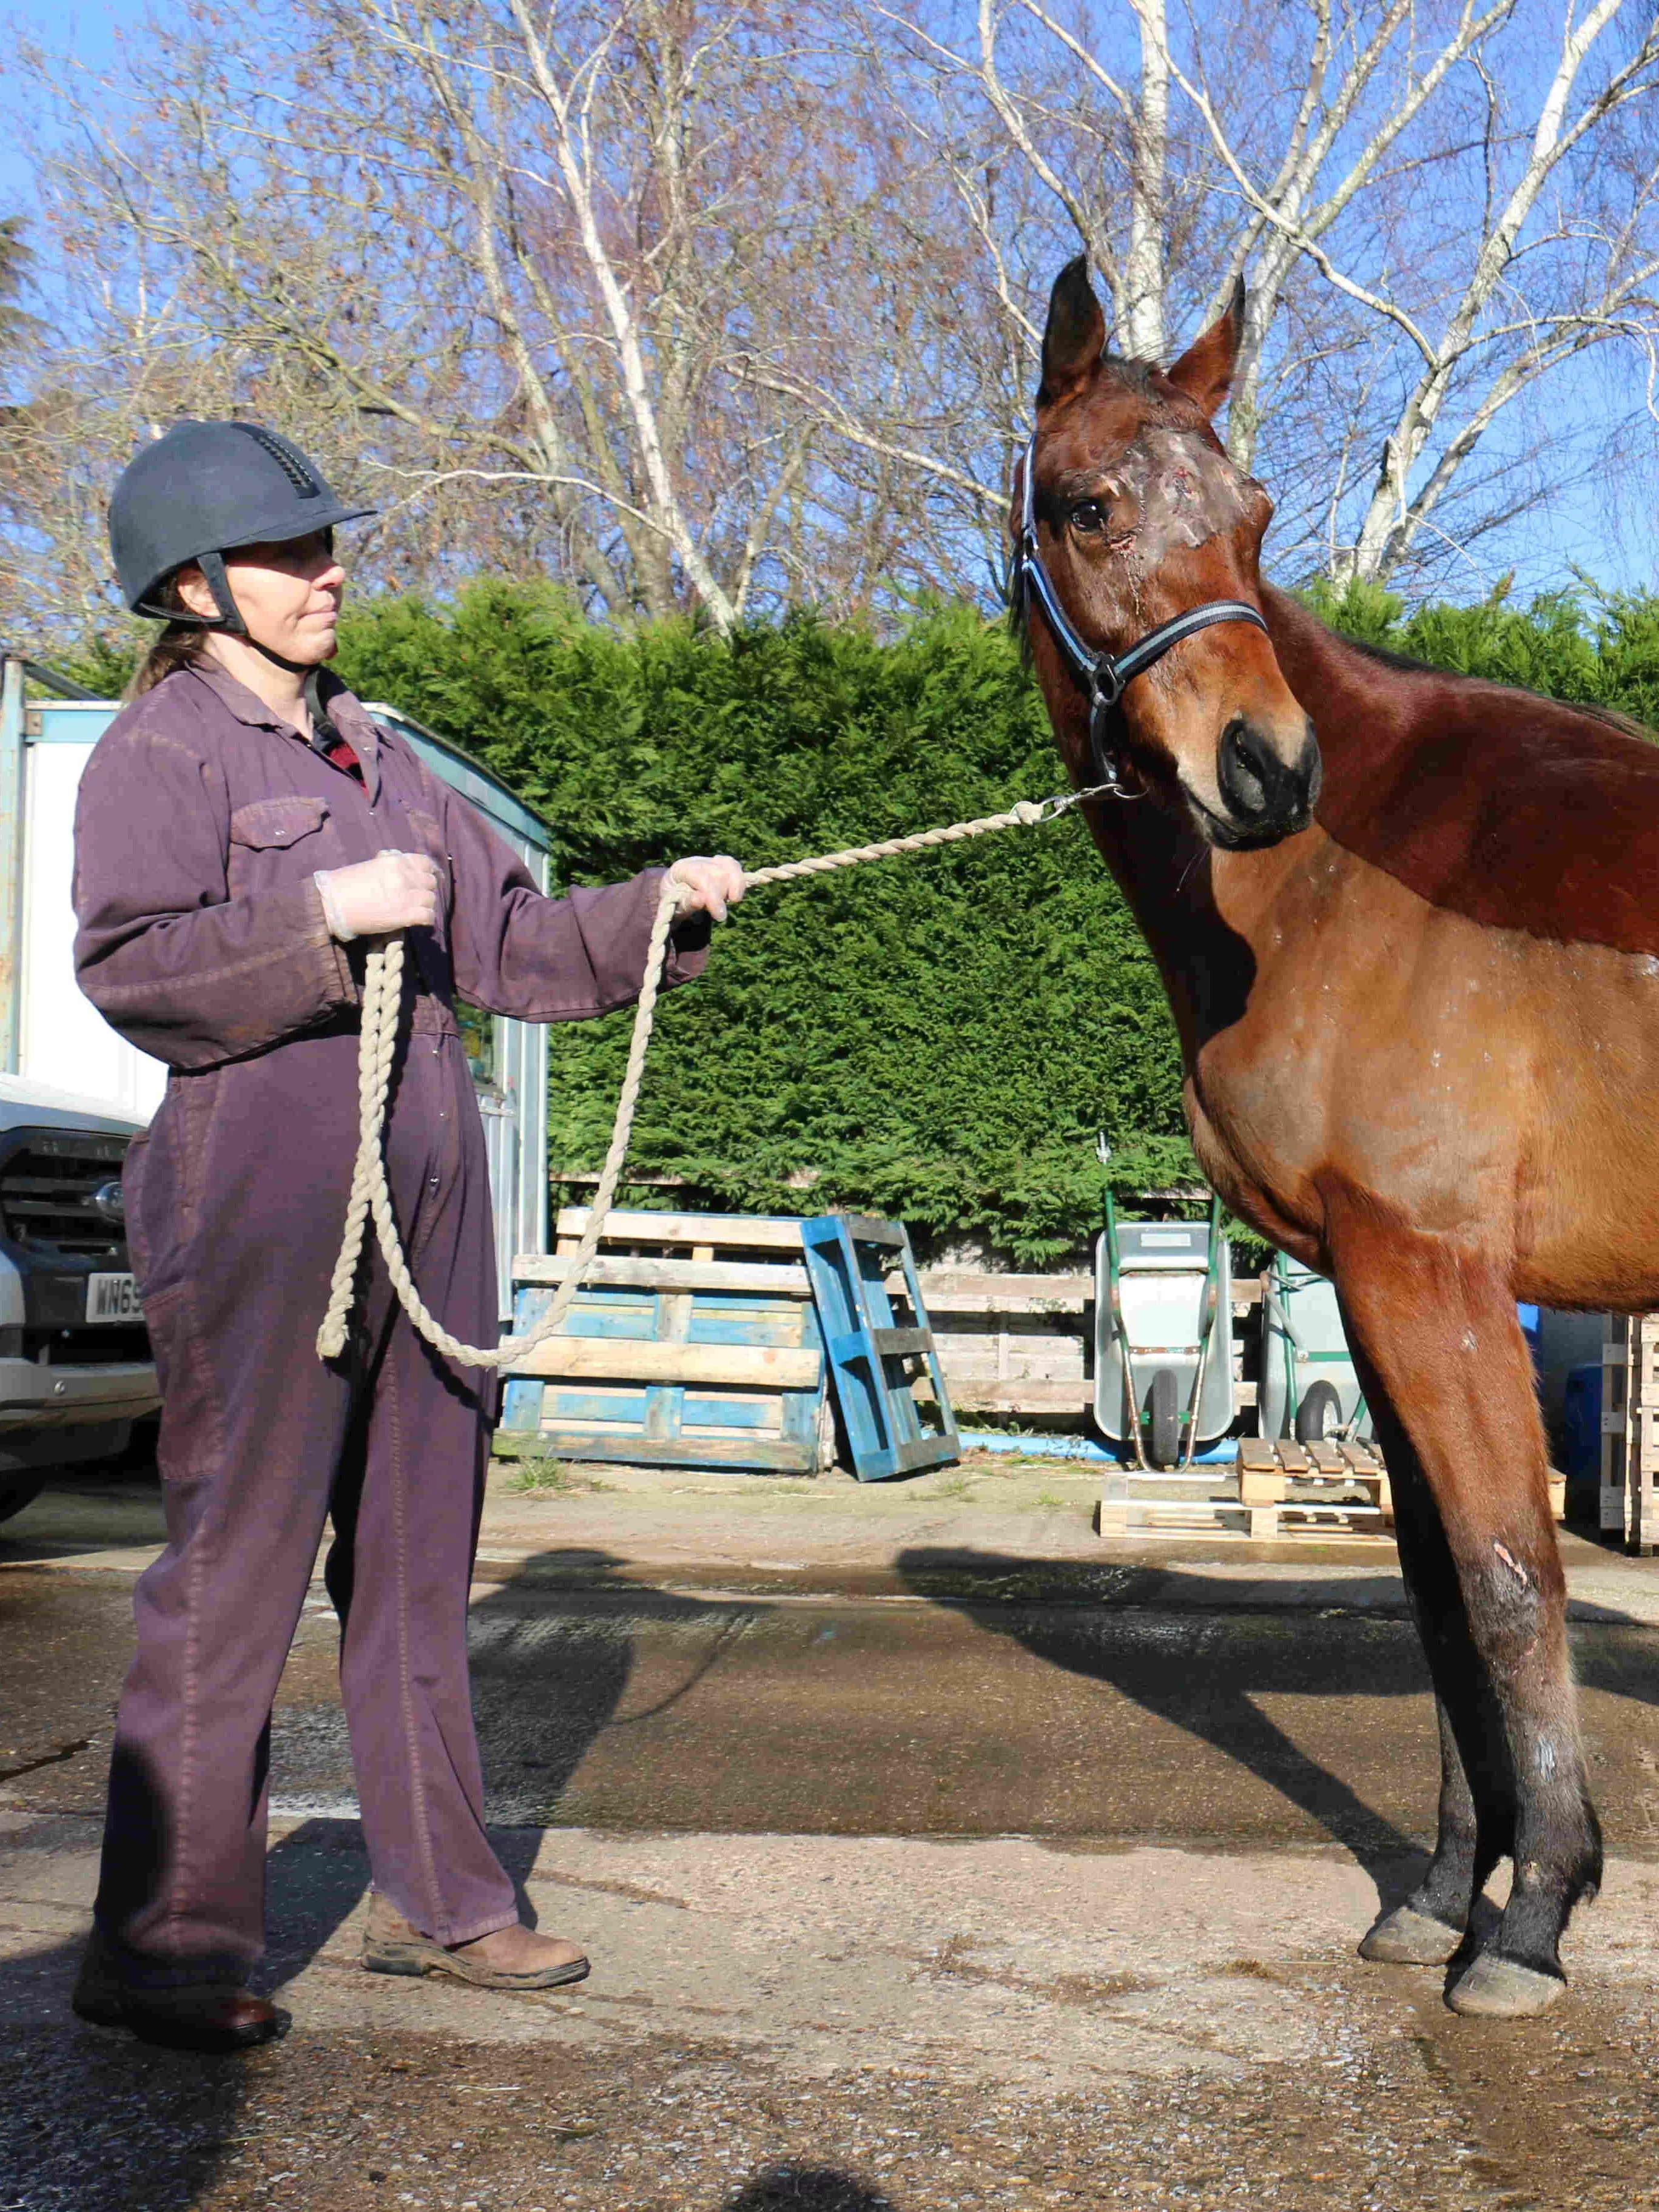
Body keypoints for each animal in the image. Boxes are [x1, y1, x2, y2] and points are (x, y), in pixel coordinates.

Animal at [1021, 258, 1654, 2026]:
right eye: (1087, 504)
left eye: (1246, 515)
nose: (1263, 767)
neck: (1328, 877)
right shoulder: (1364, 1286)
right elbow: (1429, 1591)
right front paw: (1442, 1889)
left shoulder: (1430, 1272)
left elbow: (1508, 1576)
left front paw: (1533, 1915)